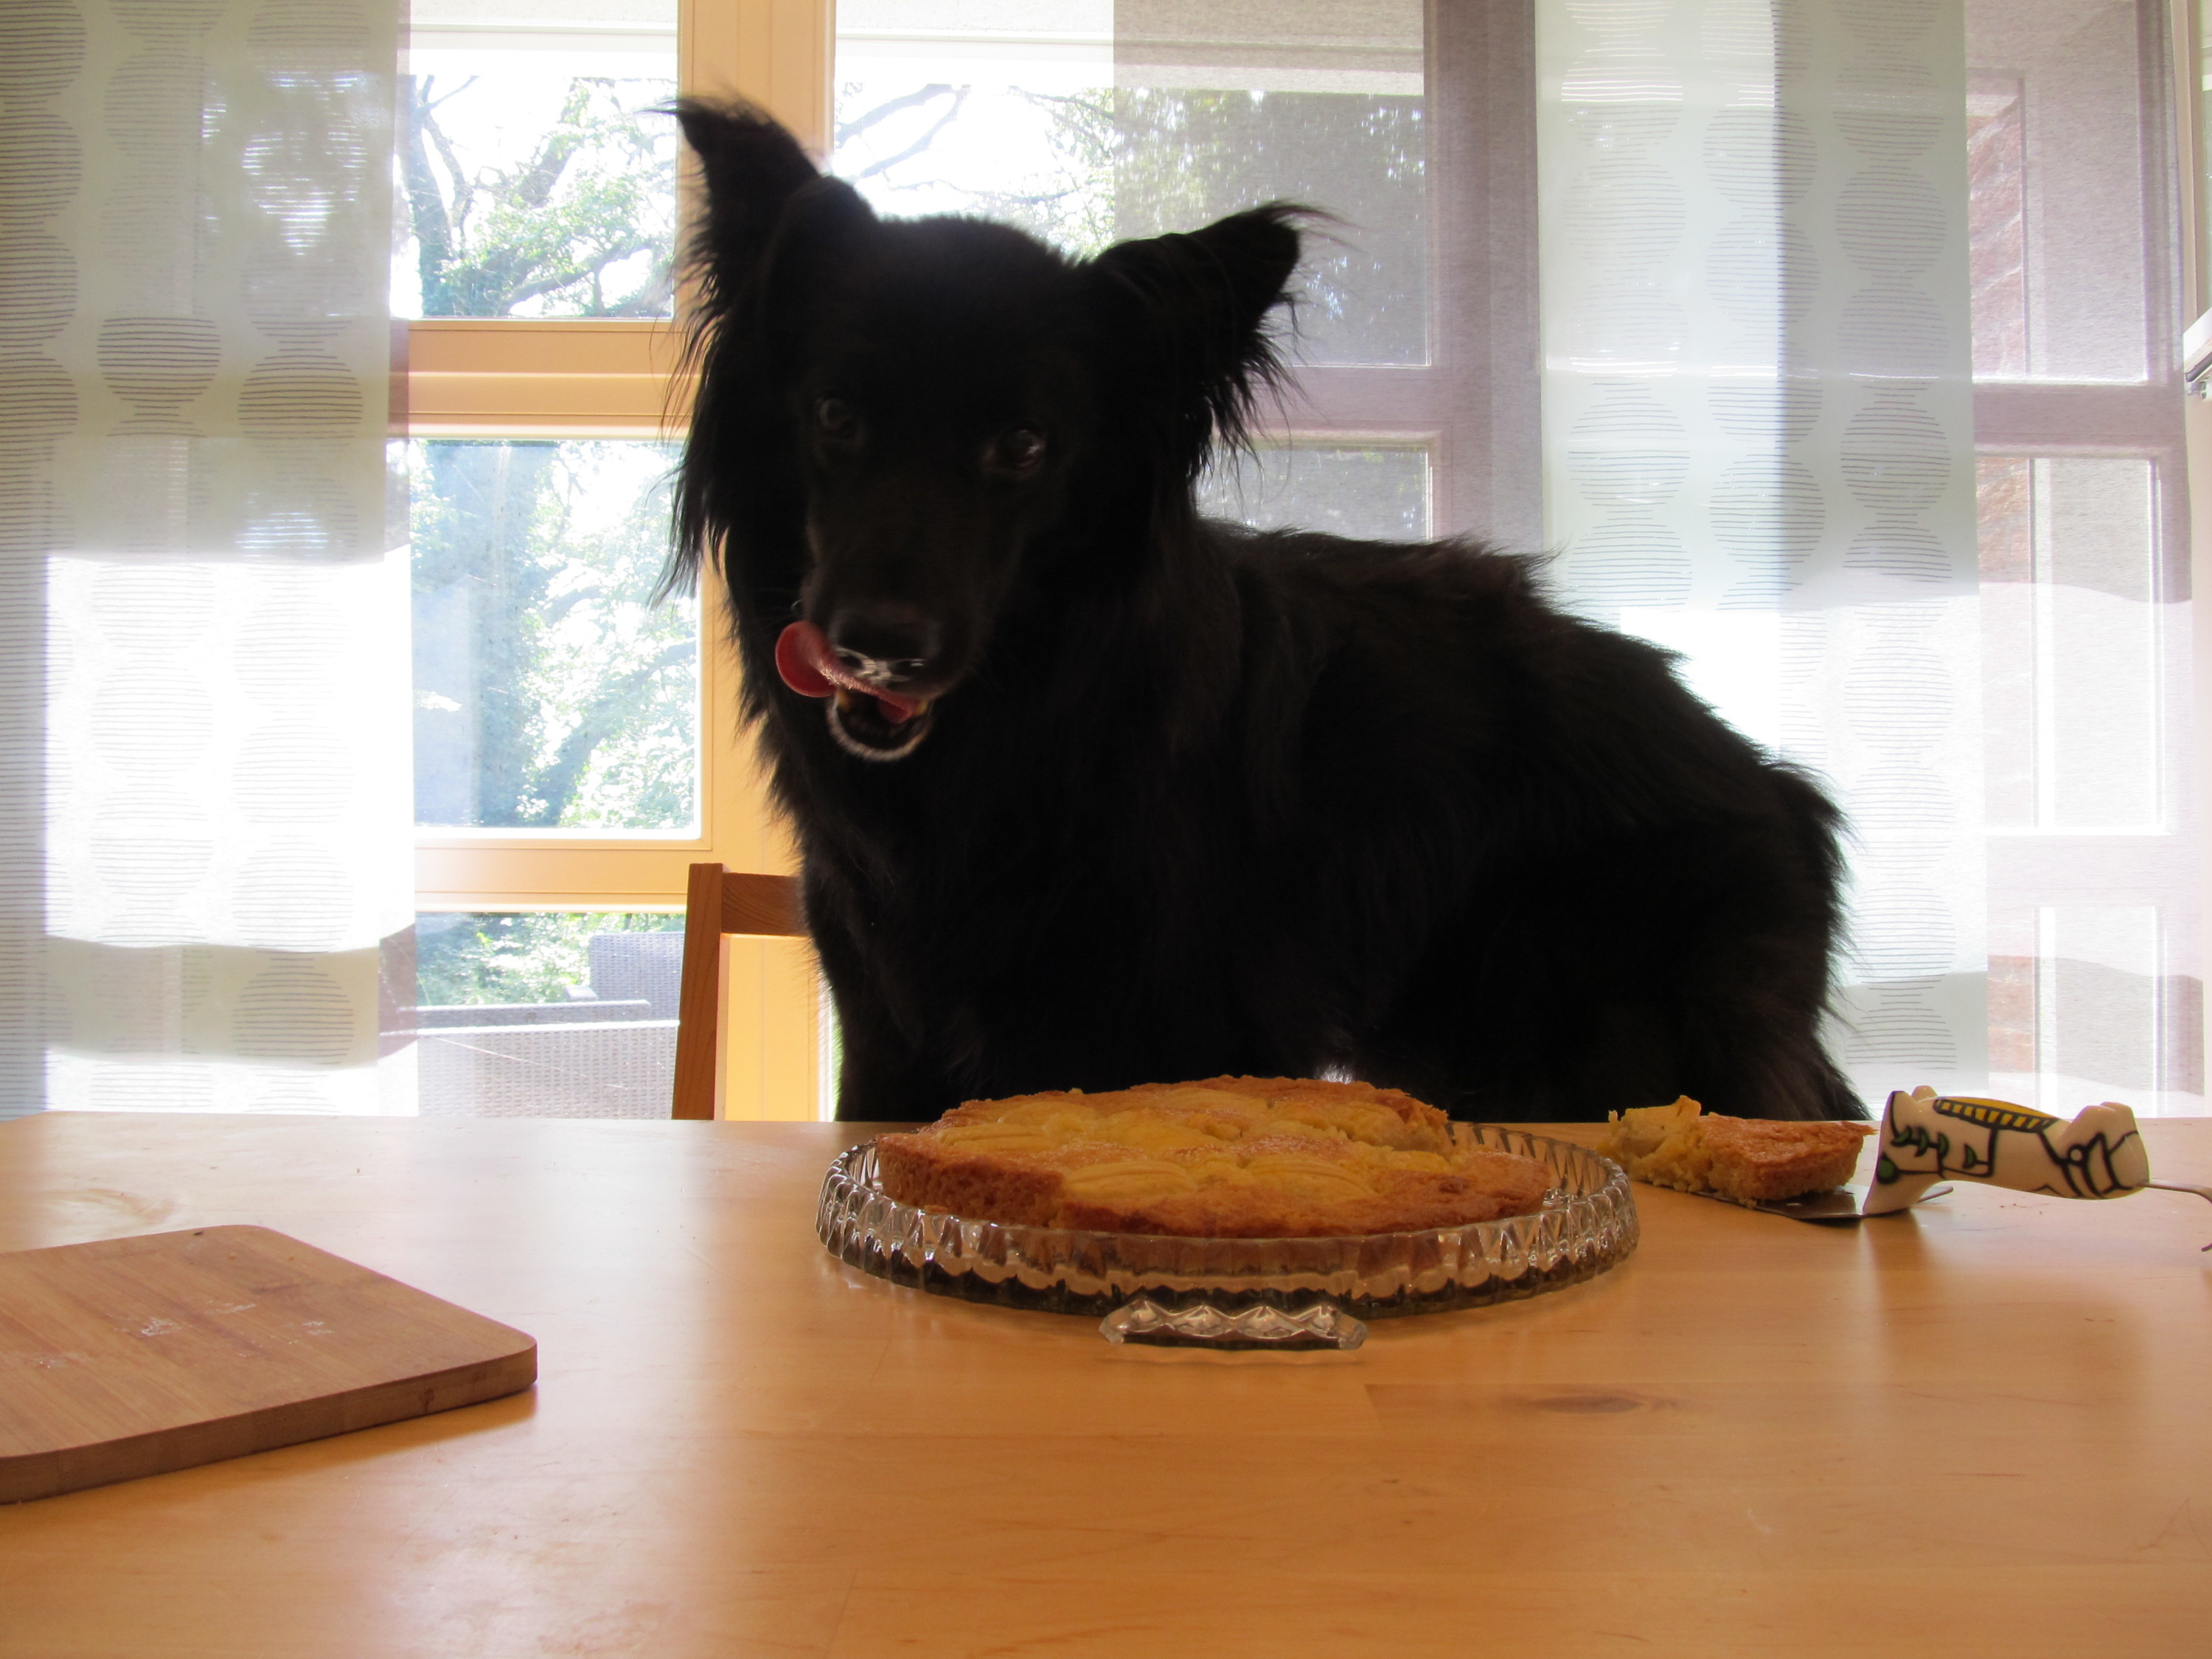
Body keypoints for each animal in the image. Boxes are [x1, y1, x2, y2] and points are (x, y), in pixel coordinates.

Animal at [664, 97, 1858, 1124]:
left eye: (1024, 446)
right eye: (835, 415)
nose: (878, 651)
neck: (1028, 722)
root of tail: (1766, 777)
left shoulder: (1172, 1025)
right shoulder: (887, 1028)